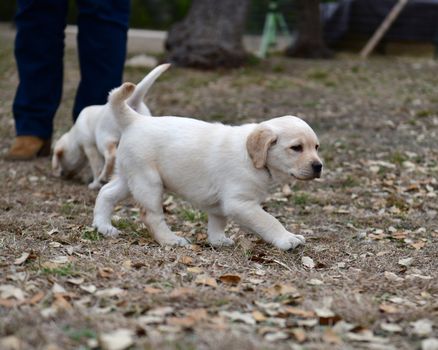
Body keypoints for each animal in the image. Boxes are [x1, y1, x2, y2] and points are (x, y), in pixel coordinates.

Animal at [94, 83, 324, 250]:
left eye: (316, 147)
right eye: (296, 148)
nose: (319, 166)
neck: (252, 159)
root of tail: (136, 120)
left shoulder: (221, 204)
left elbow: (218, 221)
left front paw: (218, 240)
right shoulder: (240, 203)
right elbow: (268, 220)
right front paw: (288, 238)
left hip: (129, 177)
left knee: (106, 192)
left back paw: (103, 227)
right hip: (148, 182)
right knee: (151, 216)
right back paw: (171, 240)